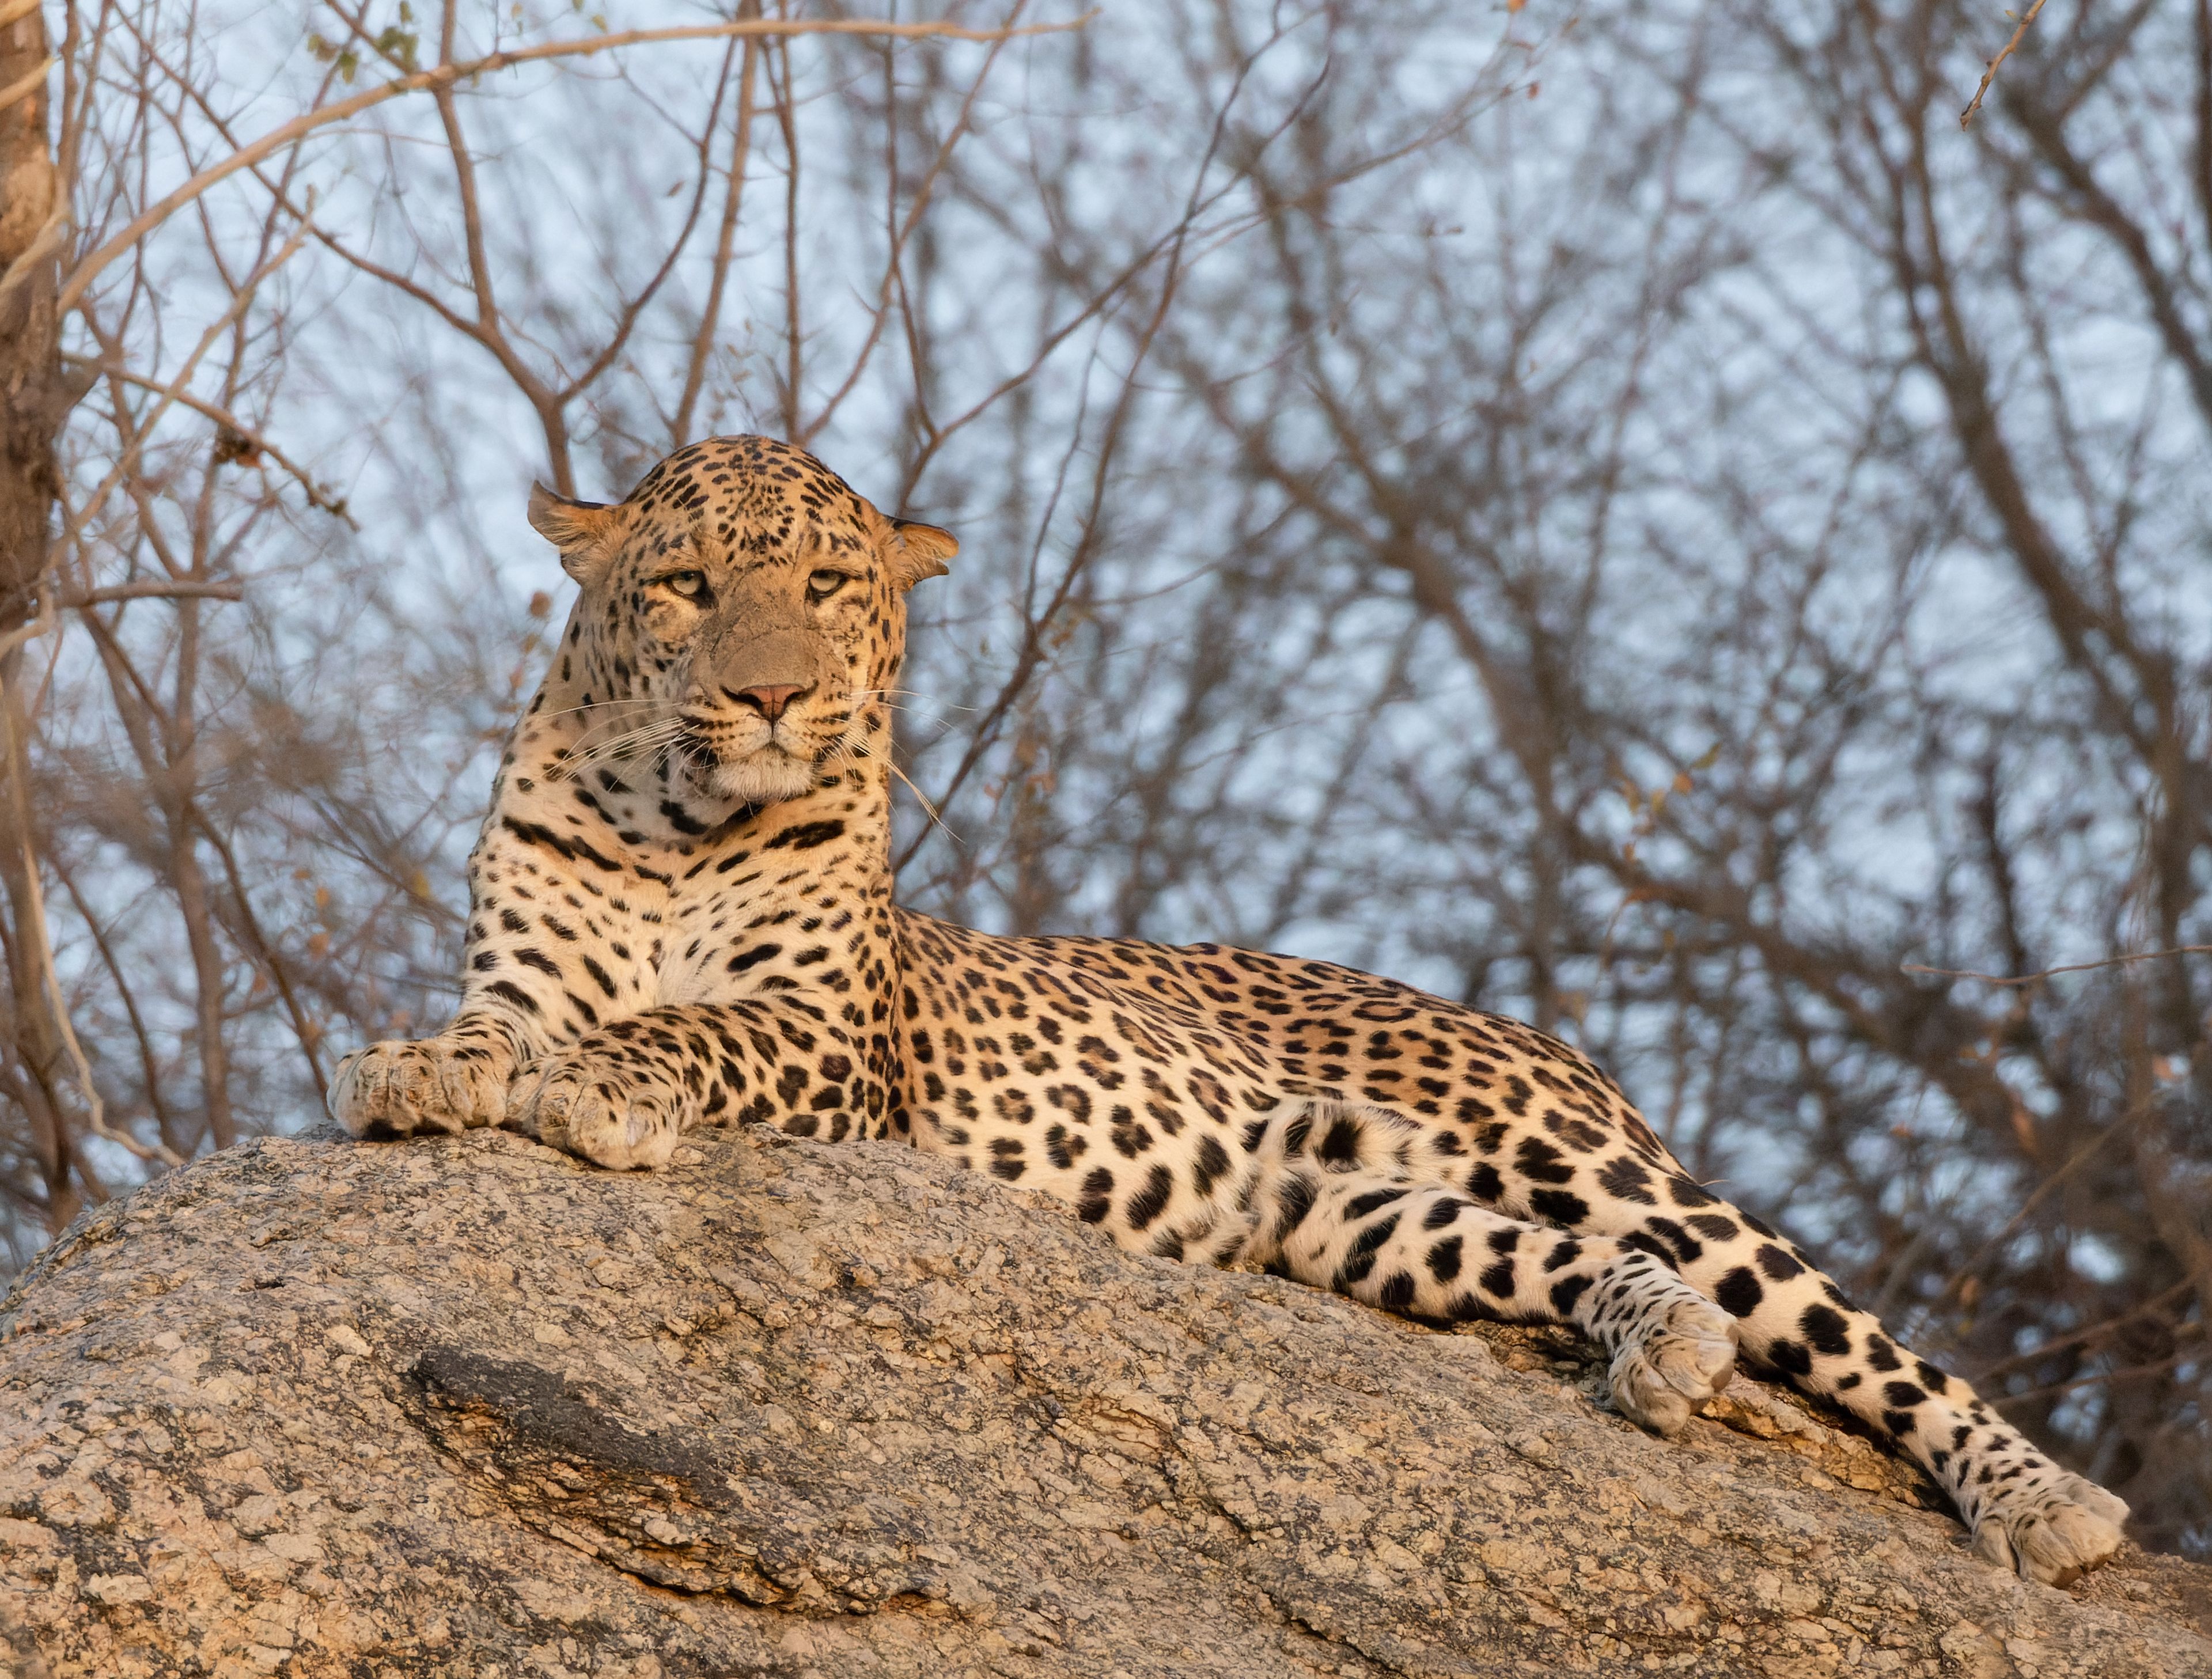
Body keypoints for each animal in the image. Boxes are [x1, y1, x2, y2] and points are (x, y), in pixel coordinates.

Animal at [330, 433, 2130, 1587]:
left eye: (833, 584)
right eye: (690, 587)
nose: (773, 695)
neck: (670, 822)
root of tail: (1530, 1032)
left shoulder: (834, 1038)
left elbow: (683, 1029)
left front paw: (601, 1085)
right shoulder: (525, 968)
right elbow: (498, 1027)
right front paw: (418, 1067)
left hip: (1589, 1159)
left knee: (1865, 1340)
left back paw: (2043, 1502)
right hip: (1351, 1215)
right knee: (1581, 1272)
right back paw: (1660, 1347)